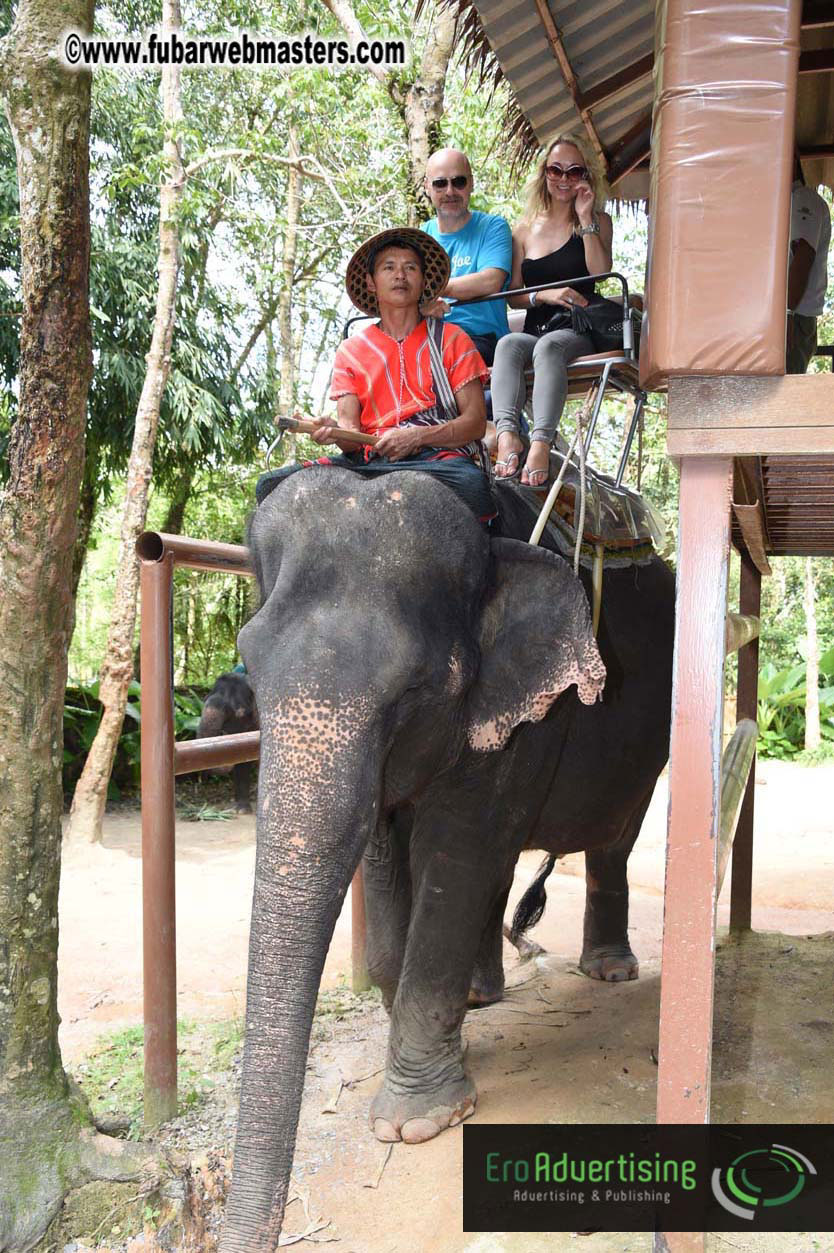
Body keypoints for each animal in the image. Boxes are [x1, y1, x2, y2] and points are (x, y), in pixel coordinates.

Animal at [219, 466, 675, 1252]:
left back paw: (609, 971)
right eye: (250, 662)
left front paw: (415, 1122)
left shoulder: (524, 711)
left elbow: (456, 850)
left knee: (613, 835)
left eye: (413, 689)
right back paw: (483, 994)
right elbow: (389, 857)